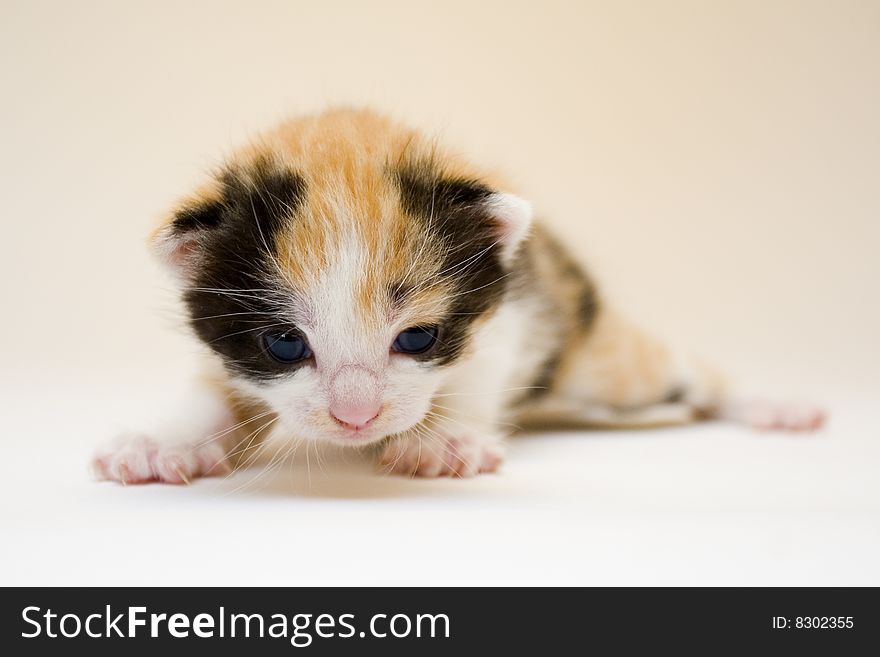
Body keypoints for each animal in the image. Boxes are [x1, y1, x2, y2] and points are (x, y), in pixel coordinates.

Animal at [91, 109, 824, 482]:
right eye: (283, 344)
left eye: (417, 337)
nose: (356, 419)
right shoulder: (224, 356)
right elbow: (209, 395)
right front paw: (161, 443)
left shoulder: (513, 310)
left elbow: (476, 374)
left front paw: (444, 441)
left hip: (610, 363)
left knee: (692, 373)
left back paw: (778, 407)